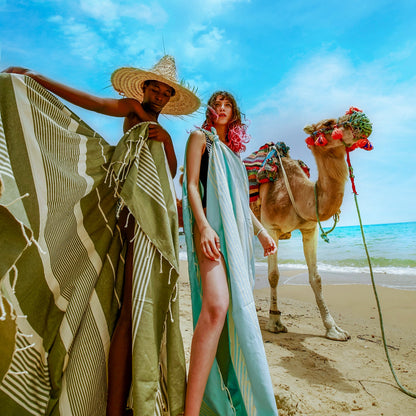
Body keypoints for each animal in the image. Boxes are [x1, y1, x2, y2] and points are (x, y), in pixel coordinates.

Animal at [247, 108, 374, 342]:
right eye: (329, 123)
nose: (361, 121)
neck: (297, 194)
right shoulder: (271, 228)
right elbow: (273, 276)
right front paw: (275, 322)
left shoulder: (310, 229)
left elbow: (316, 278)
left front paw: (334, 329)